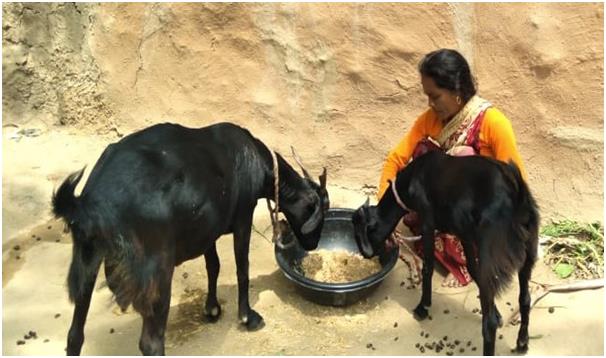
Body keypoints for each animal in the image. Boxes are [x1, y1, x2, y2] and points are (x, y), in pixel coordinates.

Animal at [51, 122, 328, 356]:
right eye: (319, 209)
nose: (313, 245)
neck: (258, 163)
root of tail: (92, 202)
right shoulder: (243, 216)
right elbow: (242, 268)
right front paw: (247, 317)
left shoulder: (208, 228)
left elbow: (213, 266)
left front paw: (212, 308)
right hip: (157, 271)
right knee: (151, 342)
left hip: (86, 259)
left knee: (75, 335)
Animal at [354, 150, 540, 356]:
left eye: (358, 231)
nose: (365, 255)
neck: (412, 178)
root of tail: (517, 196)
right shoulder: (465, 236)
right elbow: (472, 269)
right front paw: (498, 312)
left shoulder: (427, 223)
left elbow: (428, 267)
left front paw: (423, 307)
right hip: (528, 255)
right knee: (525, 299)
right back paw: (522, 342)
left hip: (490, 254)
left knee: (489, 323)